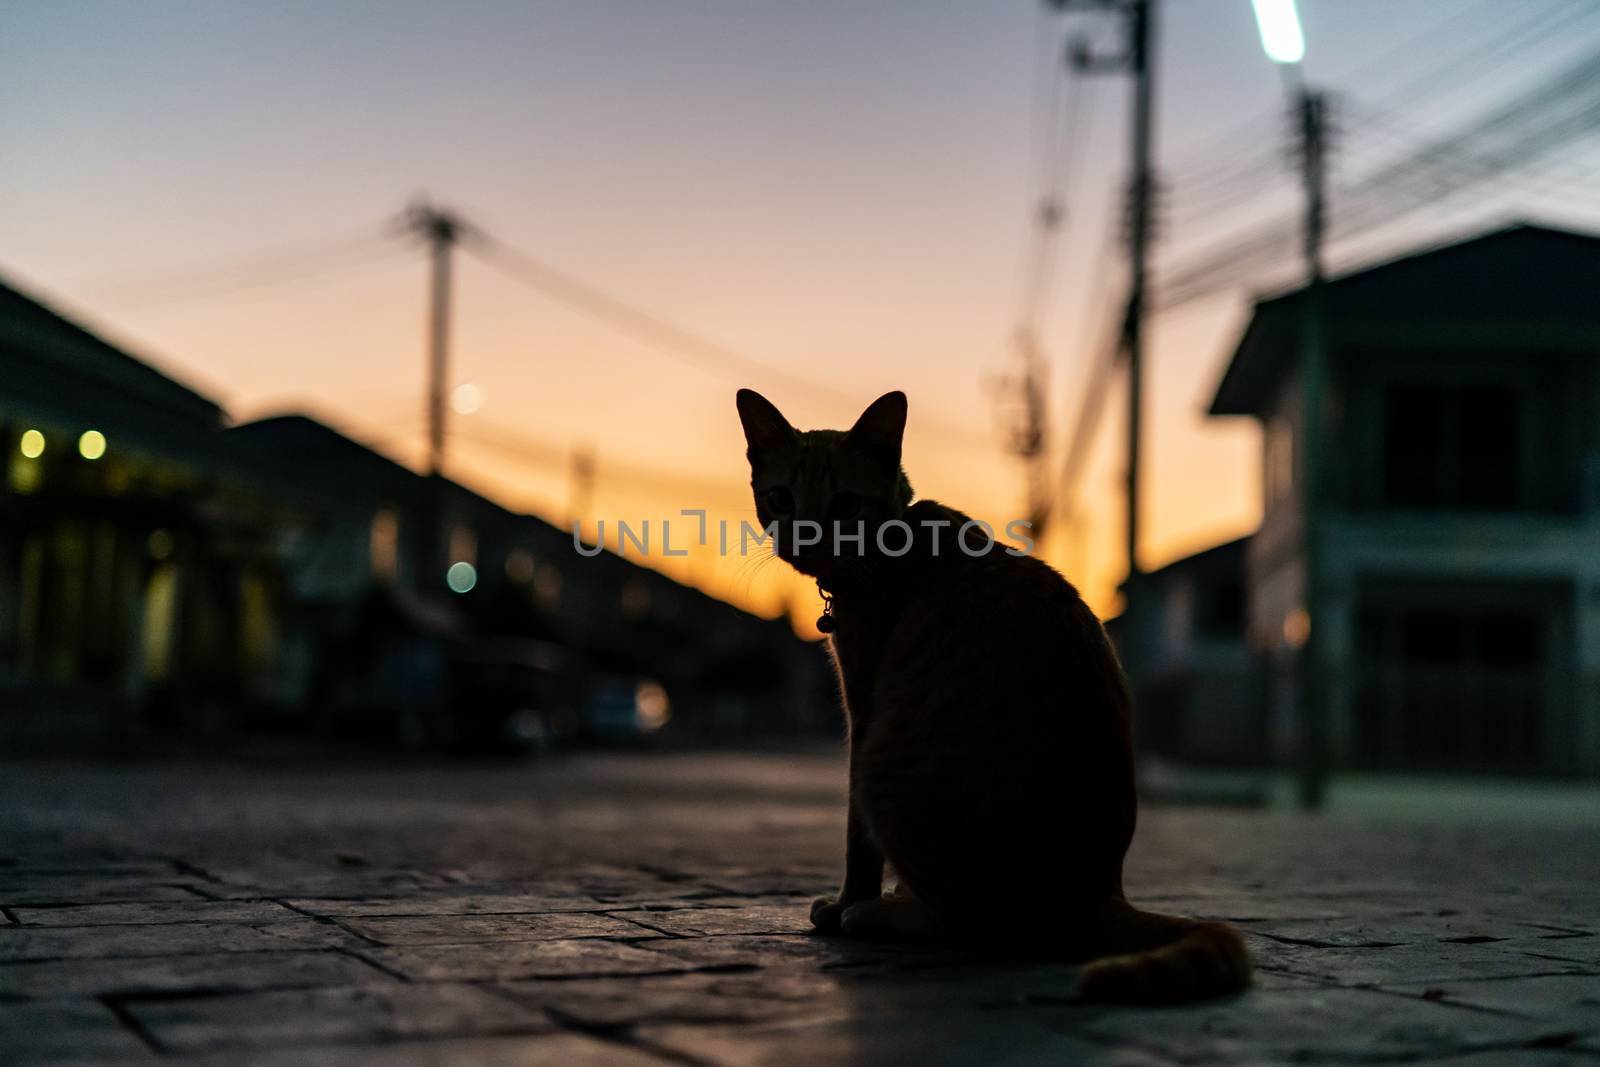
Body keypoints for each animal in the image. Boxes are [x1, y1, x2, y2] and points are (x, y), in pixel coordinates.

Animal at [736, 390, 1248, 1004]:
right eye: (781, 498)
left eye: (845, 505)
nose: (805, 539)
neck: (892, 541)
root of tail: (1100, 892)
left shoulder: (863, 710)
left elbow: (857, 842)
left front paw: (845, 903)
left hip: (885, 765)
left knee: (974, 923)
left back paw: (875, 912)